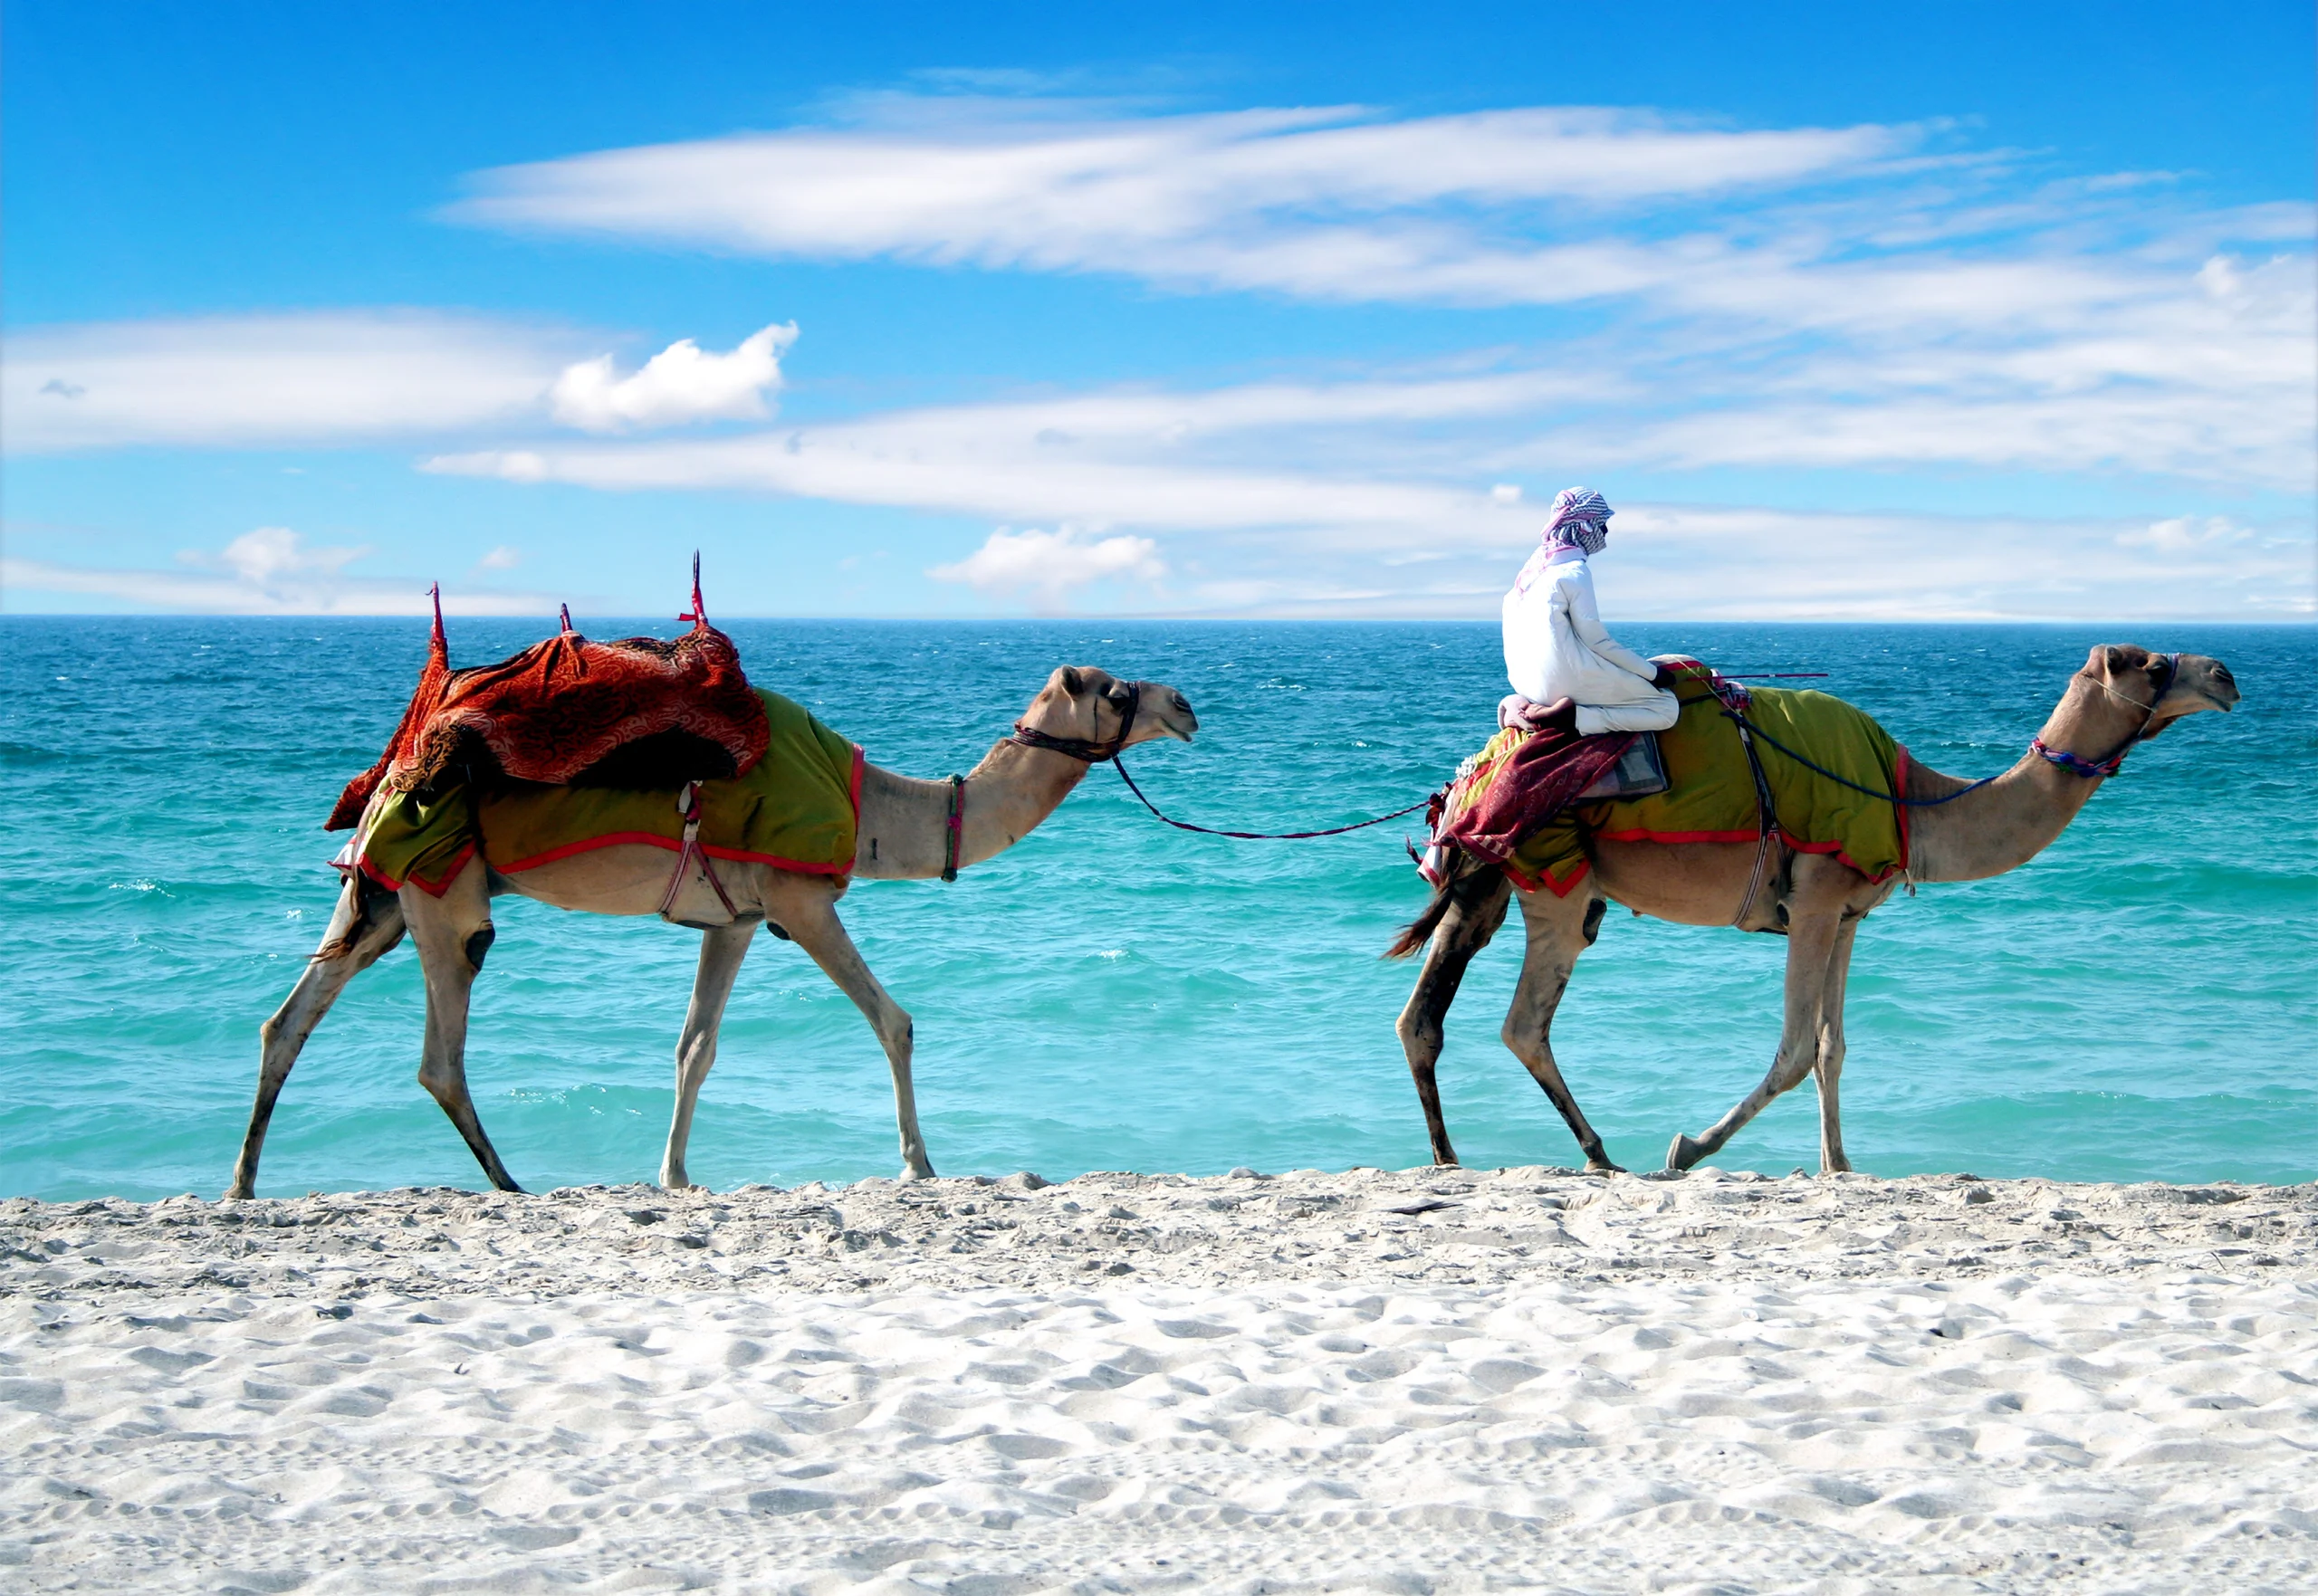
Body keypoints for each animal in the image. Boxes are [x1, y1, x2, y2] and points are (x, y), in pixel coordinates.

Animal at [227, 666, 1197, 1198]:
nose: (1187, 704)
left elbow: (695, 1045)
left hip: (385, 895)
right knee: (439, 1050)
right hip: (446, 893)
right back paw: (507, 1180)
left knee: (288, 1019)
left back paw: (241, 1184)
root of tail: (400, 765)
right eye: (1117, 689)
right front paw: (919, 1164)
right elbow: (895, 1019)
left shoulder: (735, 917)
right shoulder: (801, 901)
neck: (873, 810)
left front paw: (675, 1174)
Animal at [1388, 644, 2239, 1175]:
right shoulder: (1817, 898)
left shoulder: (1851, 913)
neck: (1911, 801)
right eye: (2152, 662)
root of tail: (1468, 777)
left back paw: (1449, 1156)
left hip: (1493, 883)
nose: (2228, 674)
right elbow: (1797, 1048)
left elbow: (1833, 1047)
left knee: (1422, 1015)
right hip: (1557, 884)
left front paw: (1840, 1164)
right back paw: (1600, 1152)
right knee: (1522, 1022)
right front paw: (1687, 1147)